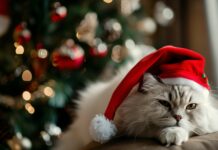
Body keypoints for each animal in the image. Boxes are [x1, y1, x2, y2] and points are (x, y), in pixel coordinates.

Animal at [54, 63, 218, 150]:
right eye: (165, 103)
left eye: (191, 106)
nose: (178, 117)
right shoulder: (131, 126)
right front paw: (171, 134)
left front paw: (174, 133)